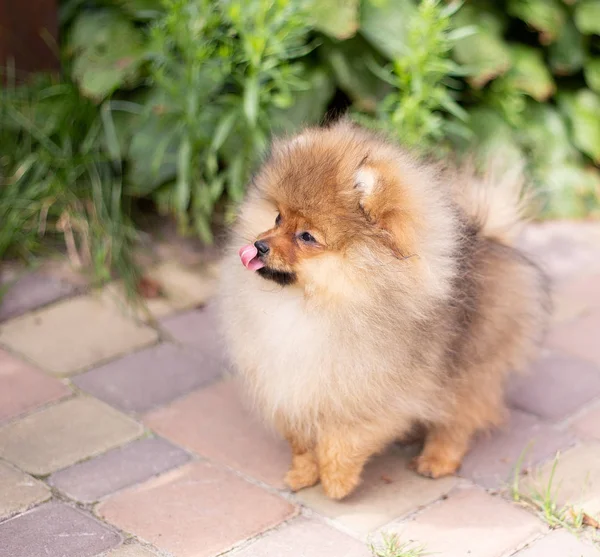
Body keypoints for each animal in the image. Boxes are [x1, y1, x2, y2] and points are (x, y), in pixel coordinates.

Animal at [218, 118, 552, 500]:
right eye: (277, 217)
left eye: (307, 237)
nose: (258, 245)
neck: (312, 304)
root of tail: (492, 239)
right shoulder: (289, 383)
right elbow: (300, 440)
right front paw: (302, 473)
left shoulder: (366, 391)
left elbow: (342, 440)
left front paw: (336, 482)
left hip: (472, 365)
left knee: (460, 417)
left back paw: (436, 459)